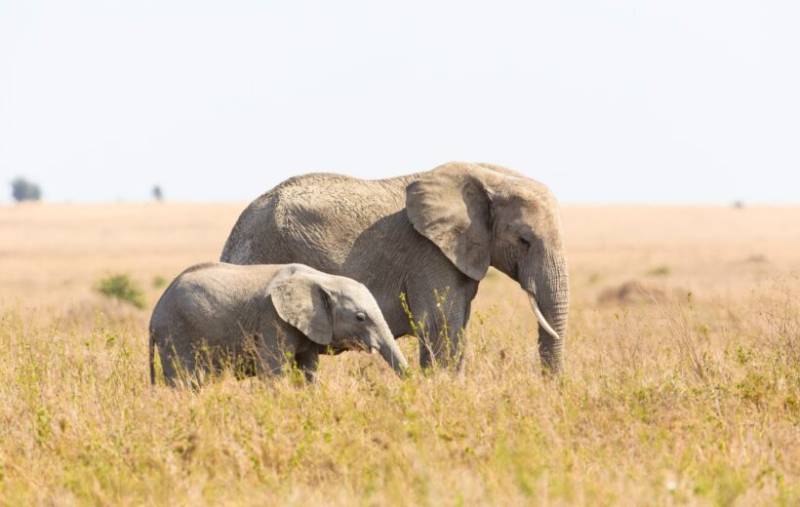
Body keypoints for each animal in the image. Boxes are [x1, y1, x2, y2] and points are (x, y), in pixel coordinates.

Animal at [149, 262, 408, 386]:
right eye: (360, 317)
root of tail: (154, 314)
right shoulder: (272, 319)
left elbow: (309, 368)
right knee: (184, 380)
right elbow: (272, 370)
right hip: (176, 331)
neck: (322, 278)